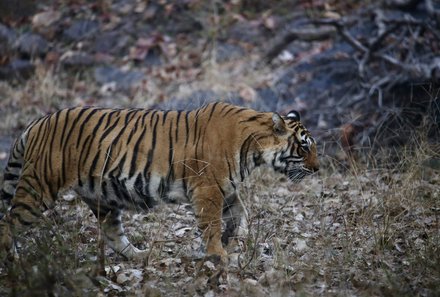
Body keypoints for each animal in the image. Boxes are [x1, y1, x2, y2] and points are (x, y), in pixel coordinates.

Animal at [0, 101, 316, 262]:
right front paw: (219, 254)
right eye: (304, 147)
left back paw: (141, 256)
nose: (317, 168)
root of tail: (36, 123)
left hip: (101, 197)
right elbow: (212, 225)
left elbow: (241, 213)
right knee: (8, 223)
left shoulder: (225, 188)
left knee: (113, 234)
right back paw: (13, 262)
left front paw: (238, 239)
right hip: (38, 187)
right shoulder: (208, 189)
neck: (253, 148)